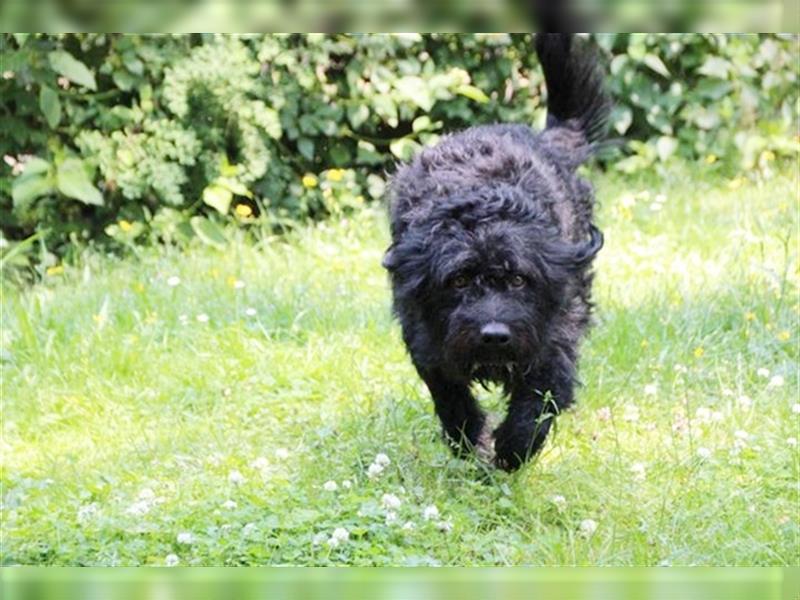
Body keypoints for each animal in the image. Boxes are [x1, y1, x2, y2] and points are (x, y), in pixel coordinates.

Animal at [384, 34, 608, 474]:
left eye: (519, 279)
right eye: (458, 280)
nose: (494, 335)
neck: (482, 206)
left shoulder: (554, 337)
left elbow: (540, 398)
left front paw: (512, 449)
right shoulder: (427, 341)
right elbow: (451, 399)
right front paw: (470, 442)